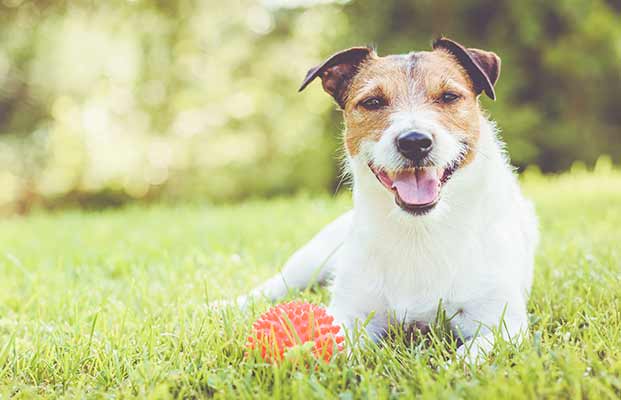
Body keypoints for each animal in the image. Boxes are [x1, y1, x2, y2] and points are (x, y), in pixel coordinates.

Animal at [223, 38, 536, 362]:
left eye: (449, 96)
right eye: (373, 102)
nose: (414, 142)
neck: (419, 230)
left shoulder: (504, 325)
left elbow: (472, 353)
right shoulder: (351, 313)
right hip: (310, 260)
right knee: (271, 287)